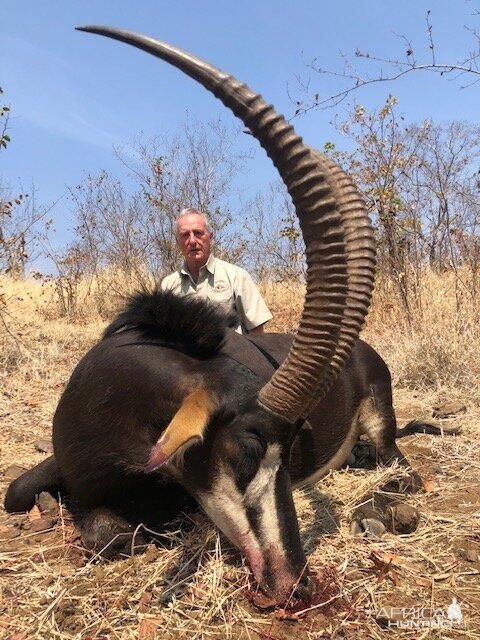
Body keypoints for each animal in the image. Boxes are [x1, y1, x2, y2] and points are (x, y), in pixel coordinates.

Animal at [3, 28, 440, 604]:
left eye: (289, 450)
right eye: (251, 445)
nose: (293, 580)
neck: (110, 400)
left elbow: (113, 532)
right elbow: (18, 491)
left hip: (382, 420)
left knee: (399, 464)